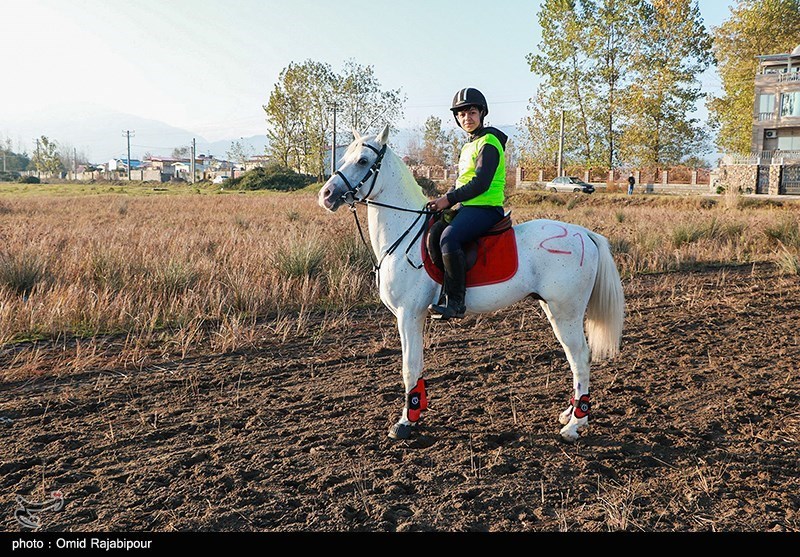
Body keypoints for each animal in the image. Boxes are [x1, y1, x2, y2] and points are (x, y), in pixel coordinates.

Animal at [318, 124, 624, 440]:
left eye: (363, 161)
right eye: (343, 159)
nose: (326, 195)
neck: (404, 236)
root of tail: (584, 234)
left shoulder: (409, 314)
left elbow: (409, 367)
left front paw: (405, 422)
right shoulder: (412, 316)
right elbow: (417, 366)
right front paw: (416, 412)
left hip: (567, 313)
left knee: (581, 357)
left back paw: (576, 424)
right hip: (555, 310)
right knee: (573, 358)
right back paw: (570, 413)